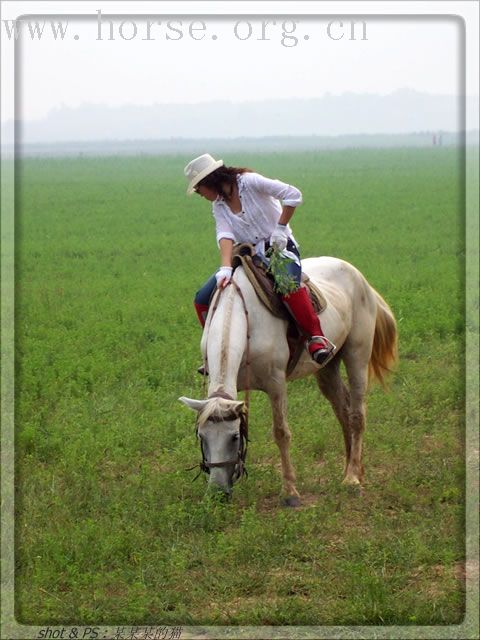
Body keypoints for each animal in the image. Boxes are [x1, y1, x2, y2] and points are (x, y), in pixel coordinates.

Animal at [180, 256, 398, 504]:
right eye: (201, 437)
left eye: (234, 437)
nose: (217, 493)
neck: (242, 318)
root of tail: (359, 277)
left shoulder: (276, 383)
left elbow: (281, 433)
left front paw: (290, 492)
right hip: (327, 368)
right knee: (343, 411)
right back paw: (352, 470)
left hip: (357, 356)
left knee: (357, 415)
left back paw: (352, 478)